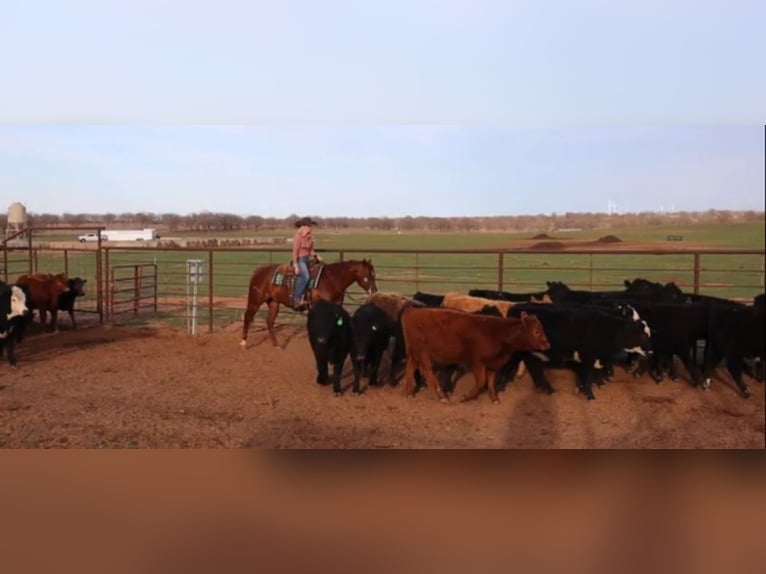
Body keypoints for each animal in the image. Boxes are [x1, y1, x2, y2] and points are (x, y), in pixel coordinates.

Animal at [238, 258, 380, 348]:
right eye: (368, 275)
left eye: (374, 274)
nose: (374, 291)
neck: (331, 280)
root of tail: (258, 271)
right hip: (256, 300)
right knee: (247, 316)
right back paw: (244, 343)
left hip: (273, 303)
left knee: (269, 321)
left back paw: (277, 345)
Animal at [402, 308, 552, 408]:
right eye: (536, 332)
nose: (547, 344)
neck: (497, 333)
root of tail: (411, 311)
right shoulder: (477, 362)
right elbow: (481, 382)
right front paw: (465, 397)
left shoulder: (492, 364)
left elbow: (490, 382)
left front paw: (494, 399)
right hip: (423, 352)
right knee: (427, 371)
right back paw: (442, 397)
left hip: (415, 353)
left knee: (410, 367)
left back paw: (409, 392)